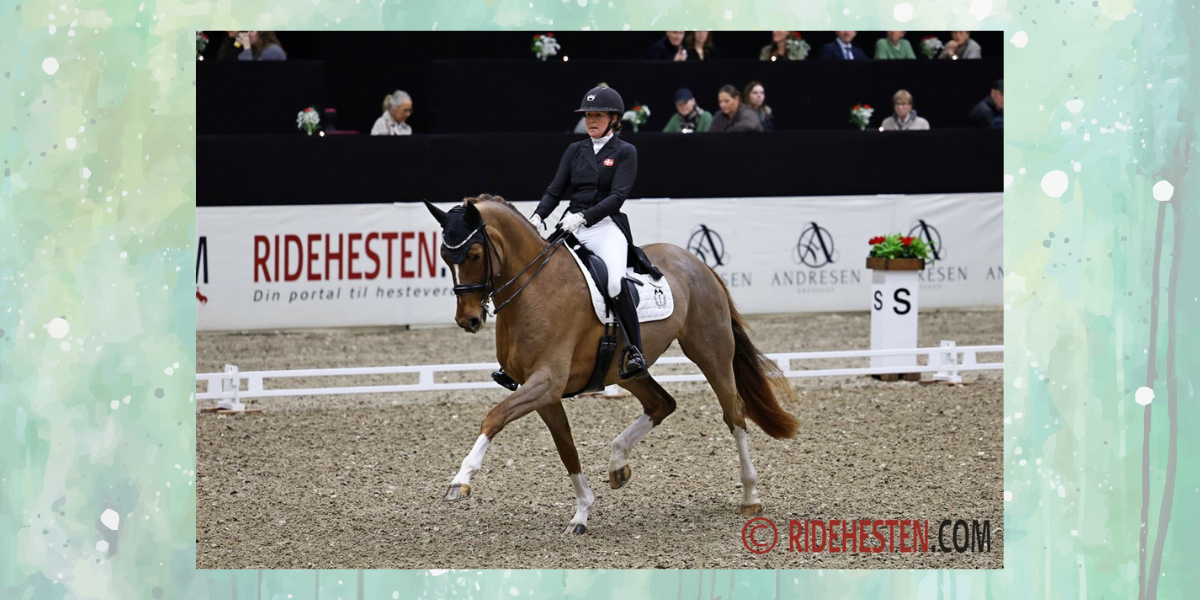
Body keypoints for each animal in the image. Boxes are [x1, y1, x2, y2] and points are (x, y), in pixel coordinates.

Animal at [424, 195, 799, 535]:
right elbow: (566, 448)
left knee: (734, 414)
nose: (468, 320)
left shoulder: (547, 381)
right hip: (624, 370)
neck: (534, 289)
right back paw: (618, 463)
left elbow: (494, 416)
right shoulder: (544, 393)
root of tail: (696, 261)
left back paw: (750, 497)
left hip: (711, 352)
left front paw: (460, 480)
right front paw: (582, 513)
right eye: (444, 257)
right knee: (661, 403)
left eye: (474, 254)